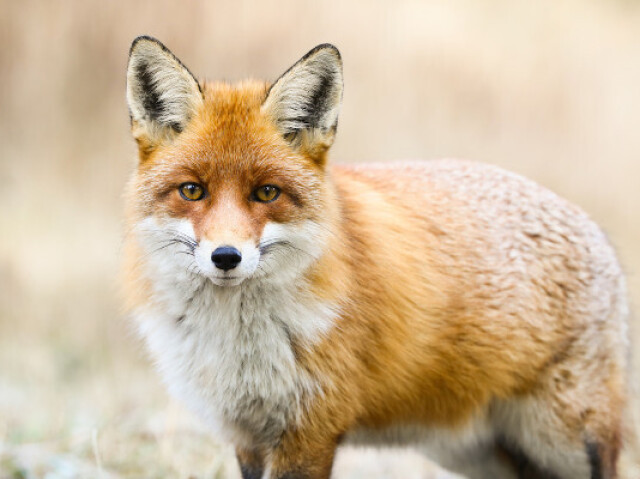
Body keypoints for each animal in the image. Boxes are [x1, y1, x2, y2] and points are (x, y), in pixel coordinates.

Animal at [124, 35, 632, 478]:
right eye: (192, 190)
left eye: (267, 192)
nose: (226, 256)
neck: (239, 345)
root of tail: (598, 234)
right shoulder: (247, 435)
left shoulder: (311, 431)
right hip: (477, 452)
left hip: (563, 437)